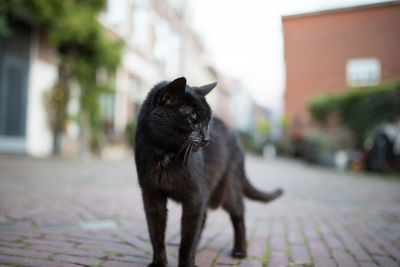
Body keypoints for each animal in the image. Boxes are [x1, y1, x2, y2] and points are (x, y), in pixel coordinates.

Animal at [134, 77, 282, 267]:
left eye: (207, 121)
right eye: (193, 120)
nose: (207, 138)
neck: (166, 155)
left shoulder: (195, 197)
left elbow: (187, 238)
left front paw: (187, 263)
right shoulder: (152, 195)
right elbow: (156, 234)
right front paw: (159, 263)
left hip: (229, 189)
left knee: (239, 216)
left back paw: (240, 251)